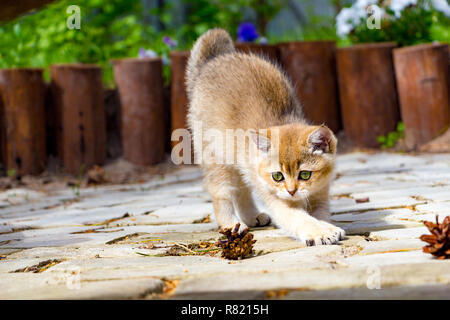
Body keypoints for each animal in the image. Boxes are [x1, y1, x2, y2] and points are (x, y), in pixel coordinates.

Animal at [185, 28, 344, 246]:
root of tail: (213, 60)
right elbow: (300, 219)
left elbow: (318, 215)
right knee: (222, 193)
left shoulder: (319, 195)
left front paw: (328, 227)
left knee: (242, 188)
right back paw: (230, 225)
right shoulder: (277, 200)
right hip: (218, 160)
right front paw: (319, 232)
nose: (291, 191)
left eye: (305, 174)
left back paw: (252, 217)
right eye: (277, 176)